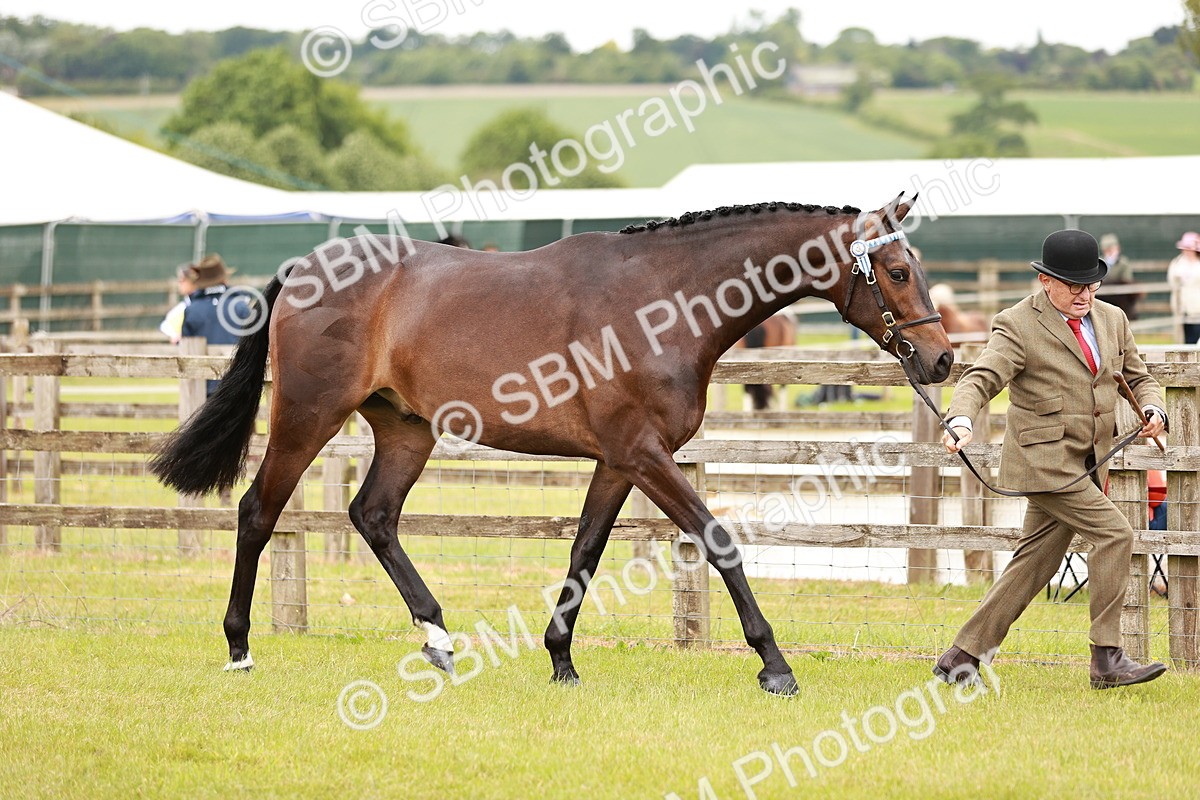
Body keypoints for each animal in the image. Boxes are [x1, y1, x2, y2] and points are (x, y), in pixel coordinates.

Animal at [149, 193, 952, 696]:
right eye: (898, 271)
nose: (942, 360)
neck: (663, 300)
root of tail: (306, 271)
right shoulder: (644, 455)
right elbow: (717, 539)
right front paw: (775, 665)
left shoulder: (620, 460)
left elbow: (585, 551)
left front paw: (561, 660)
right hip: (308, 415)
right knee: (258, 511)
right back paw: (240, 647)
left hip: (406, 431)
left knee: (373, 516)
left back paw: (438, 639)